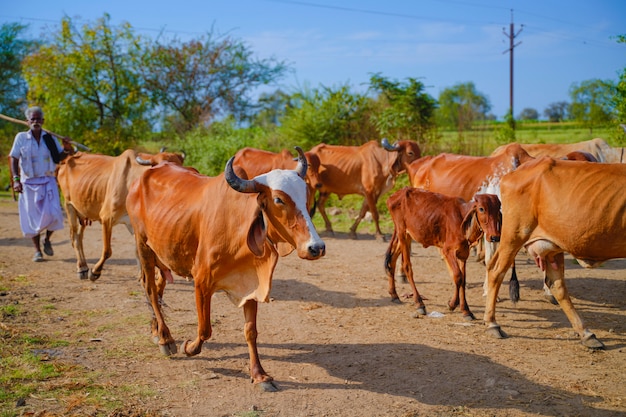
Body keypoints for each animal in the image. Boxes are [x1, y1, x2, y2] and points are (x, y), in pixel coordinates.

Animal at [56, 148, 184, 282]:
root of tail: (66, 161)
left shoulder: (133, 224)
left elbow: (137, 251)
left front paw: (141, 276)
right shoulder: (106, 218)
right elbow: (107, 250)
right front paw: (95, 272)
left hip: (83, 213)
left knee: (79, 237)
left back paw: (84, 267)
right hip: (69, 205)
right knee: (75, 237)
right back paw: (81, 268)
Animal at [124, 146, 324, 390]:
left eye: (306, 196)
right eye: (279, 199)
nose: (316, 247)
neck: (237, 226)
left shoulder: (250, 285)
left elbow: (250, 331)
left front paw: (260, 375)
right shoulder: (201, 281)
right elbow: (205, 329)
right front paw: (188, 347)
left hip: (164, 254)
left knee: (158, 287)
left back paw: (156, 330)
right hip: (142, 244)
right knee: (150, 289)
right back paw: (165, 338)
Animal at [482, 157, 624, 348]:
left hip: (551, 246)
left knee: (557, 285)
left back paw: (586, 334)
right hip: (514, 234)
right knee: (496, 271)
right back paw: (492, 323)